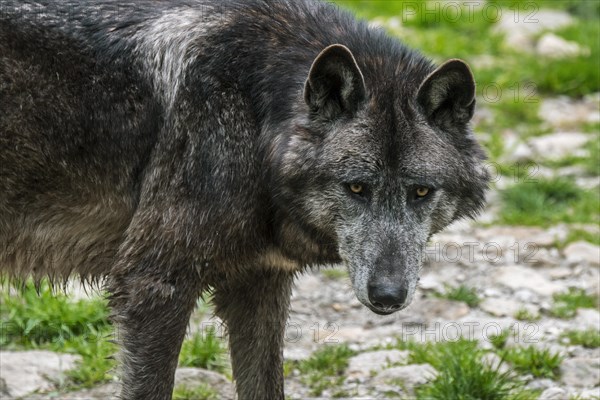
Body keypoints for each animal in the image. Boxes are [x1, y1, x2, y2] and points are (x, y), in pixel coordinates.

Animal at [0, 0, 490, 398]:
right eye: (356, 187)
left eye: (421, 191)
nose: (387, 295)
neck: (255, 118)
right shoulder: (152, 287)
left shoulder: (260, 285)